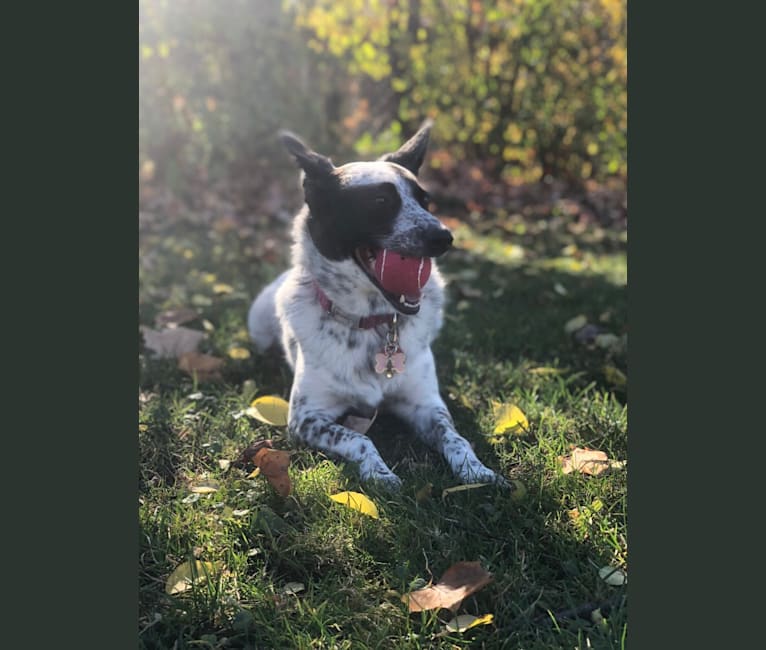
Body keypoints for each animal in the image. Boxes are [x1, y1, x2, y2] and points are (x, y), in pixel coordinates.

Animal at [249, 120, 508, 492]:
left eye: (425, 201)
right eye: (380, 201)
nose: (444, 237)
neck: (373, 323)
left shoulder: (425, 405)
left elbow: (456, 437)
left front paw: (476, 471)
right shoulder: (306, 418)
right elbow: (360, 438)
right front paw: (380, 474)